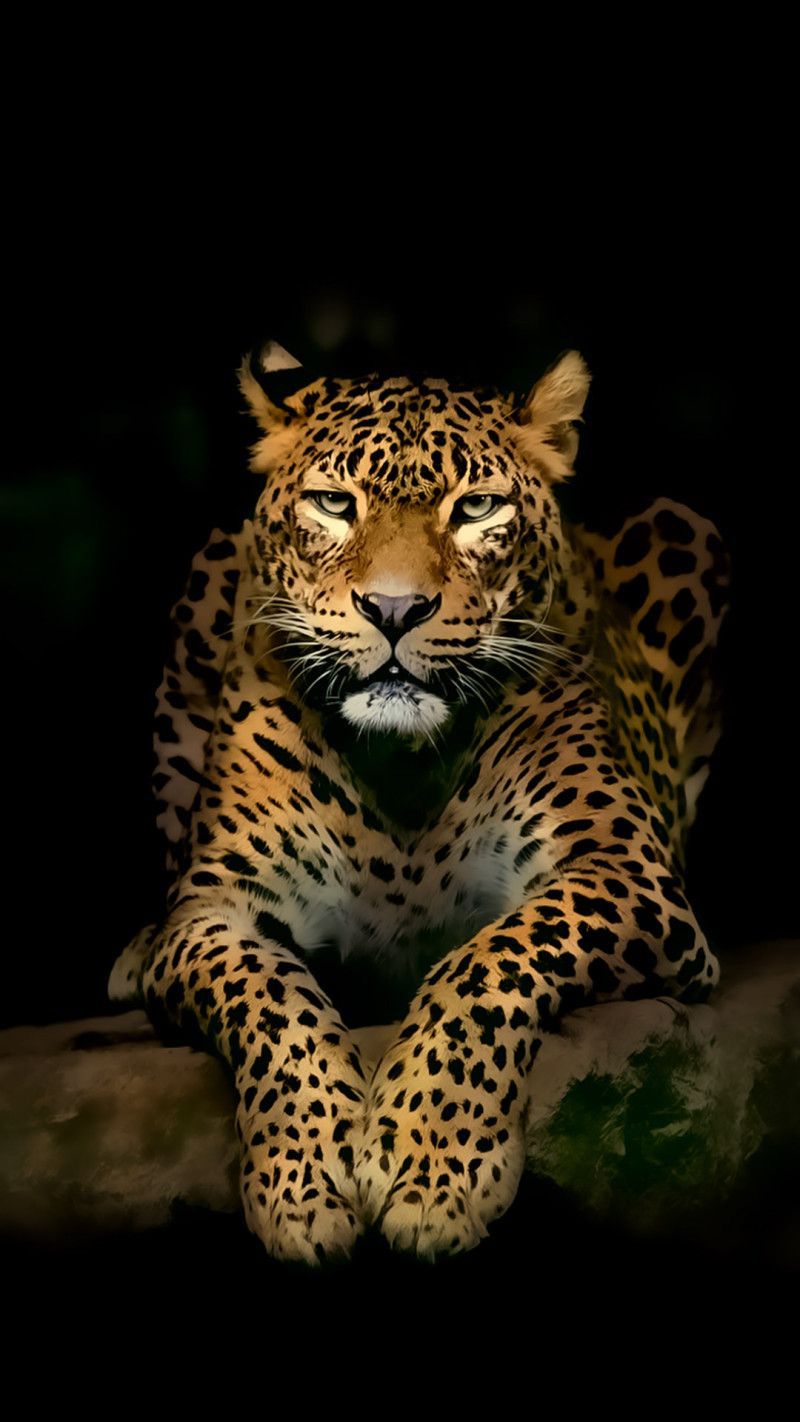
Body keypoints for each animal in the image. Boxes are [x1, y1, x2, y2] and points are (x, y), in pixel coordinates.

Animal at [108, 340, 731, 1265]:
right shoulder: (217, 910)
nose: (395, 609)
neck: (400, 765)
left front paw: (432, 1169)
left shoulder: (624, 869)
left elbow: (489, 962)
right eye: (335, 504)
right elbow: (269, 997)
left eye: (475, 508)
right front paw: (305, 1180)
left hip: (686, 529)